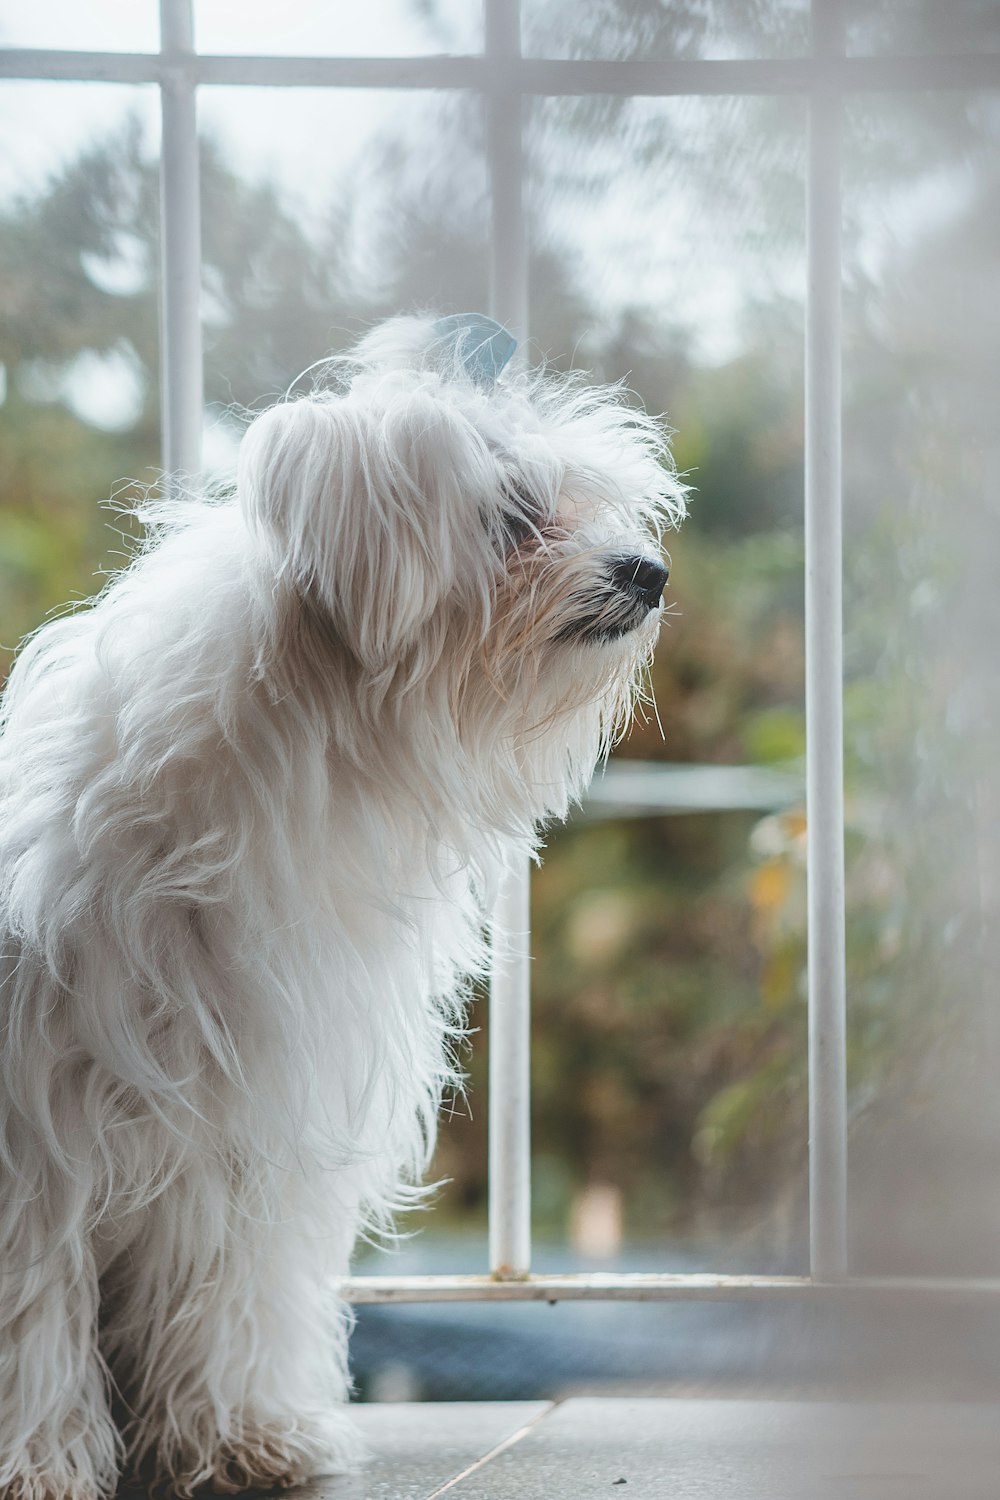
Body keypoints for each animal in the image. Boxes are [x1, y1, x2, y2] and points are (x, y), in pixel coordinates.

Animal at [0, 310, 680, 1494]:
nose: (650, 570)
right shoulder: (35, 1155)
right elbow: (29, 1320)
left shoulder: (247, 1141)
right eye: (514, 513)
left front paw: (240, 1436)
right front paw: (35, 1461)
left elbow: (231, 1298)